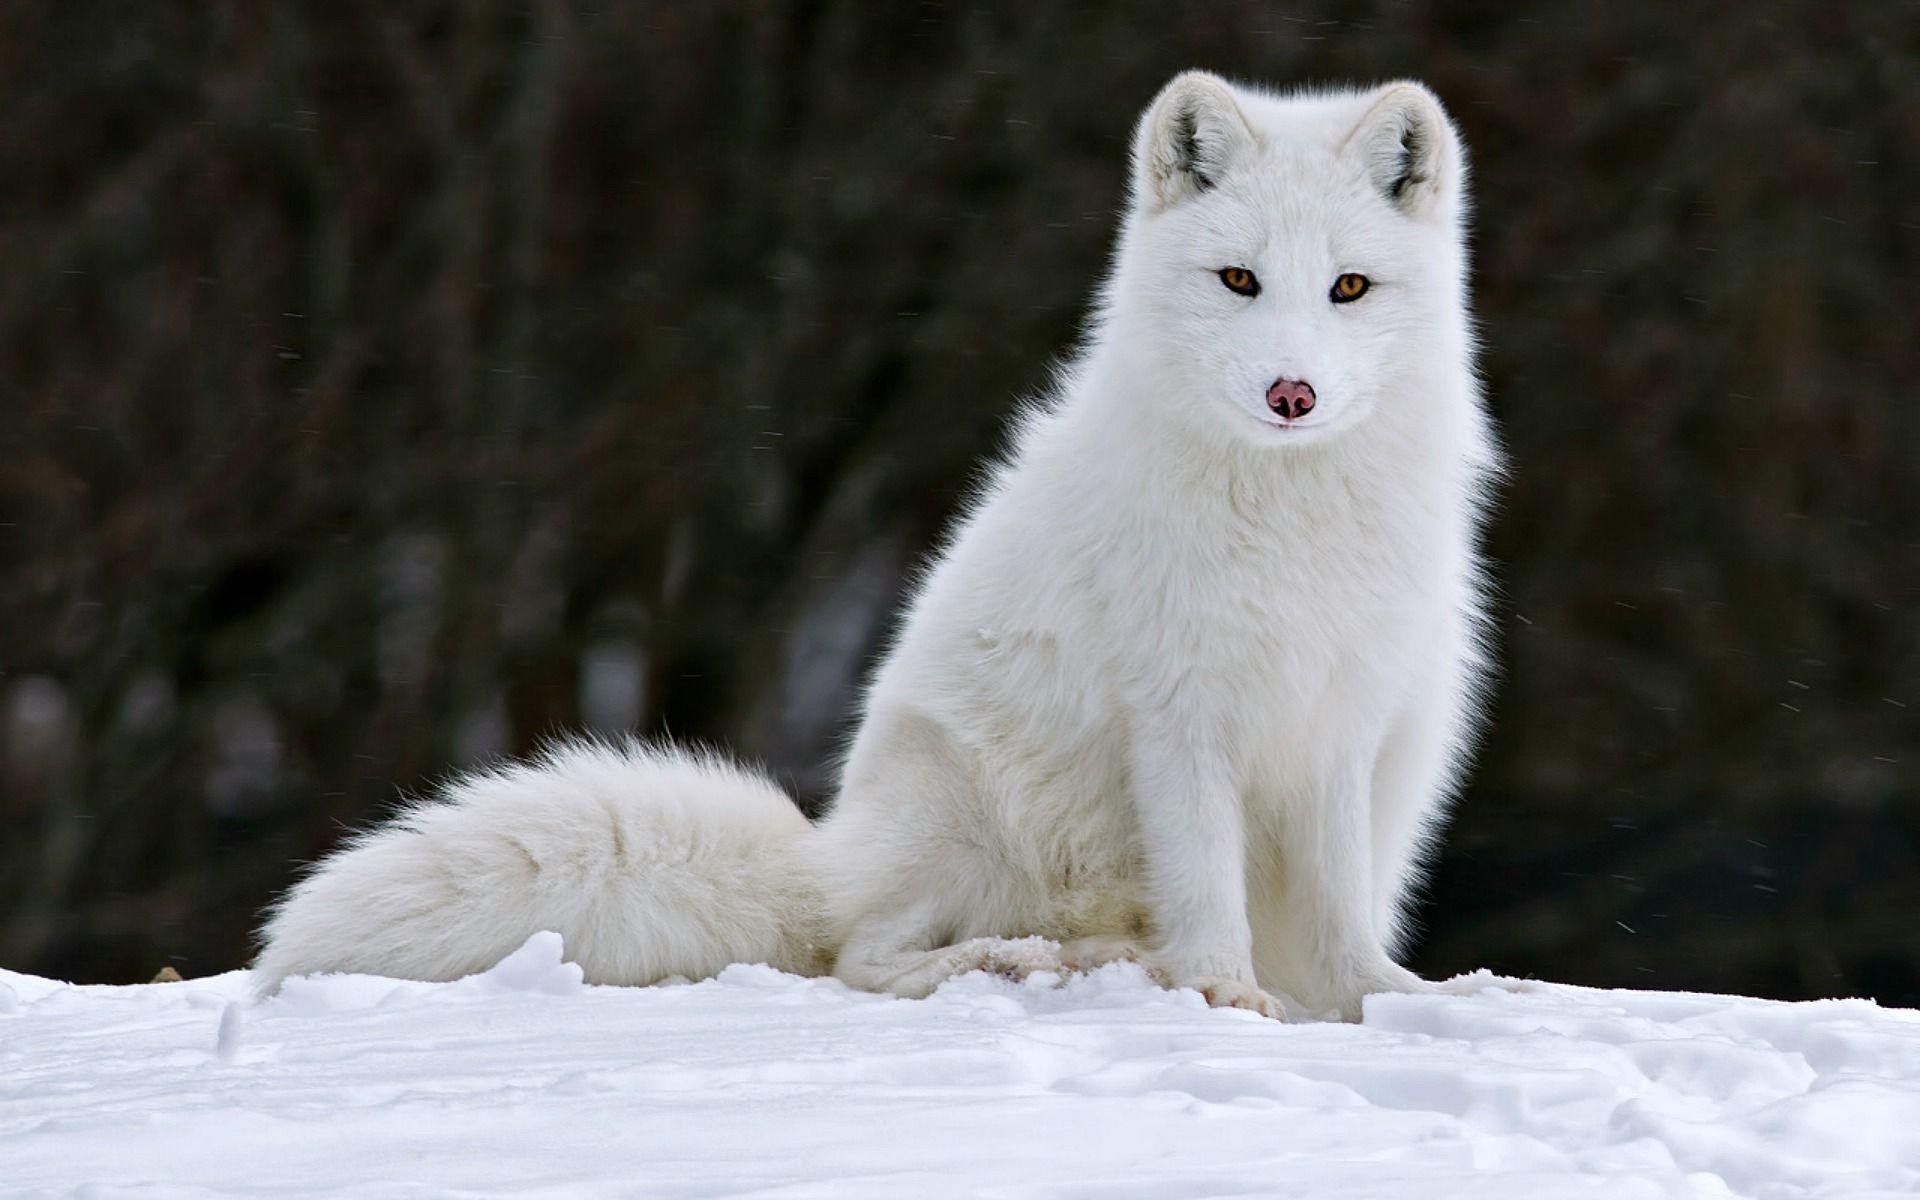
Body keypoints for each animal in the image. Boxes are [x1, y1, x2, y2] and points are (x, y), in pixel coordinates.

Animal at [255, 71, 1499, 1021]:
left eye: (1349, 287)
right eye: (1239, 279)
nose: (1292, 393)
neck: (1289, 517)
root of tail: (827, 852)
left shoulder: (1341, 722)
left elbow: (1338, 913)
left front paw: (1385, 1001)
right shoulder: (1181, 720)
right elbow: (1208, 888)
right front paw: (1228, 998)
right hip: (963, 805)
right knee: (863, 957)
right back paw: (1032, 962)